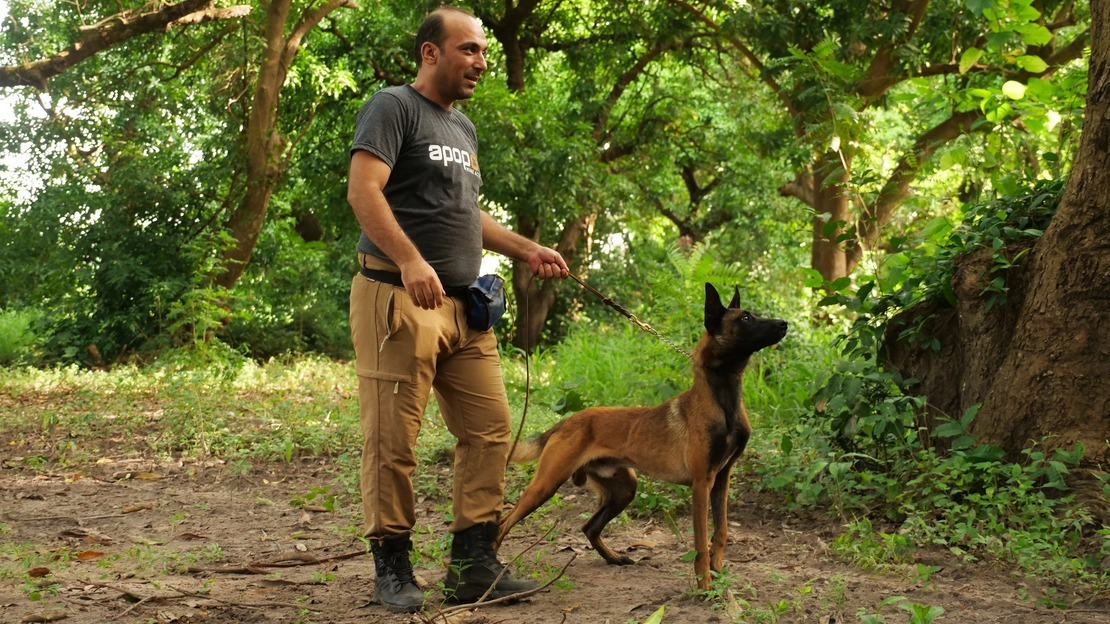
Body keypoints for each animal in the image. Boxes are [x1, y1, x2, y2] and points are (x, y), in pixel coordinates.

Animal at [499, 282, 785, 586]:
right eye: (746, 318)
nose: (784, 324)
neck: (723, 400)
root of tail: (564, 423)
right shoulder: (701, 483)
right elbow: (700, 545)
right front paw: (704, 586)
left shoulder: (722, 478)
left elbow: (721, 532)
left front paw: (718, 576)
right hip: (546, 485)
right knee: (504, 524)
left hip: (624, 488)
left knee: (589, 526)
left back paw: (614, 558)